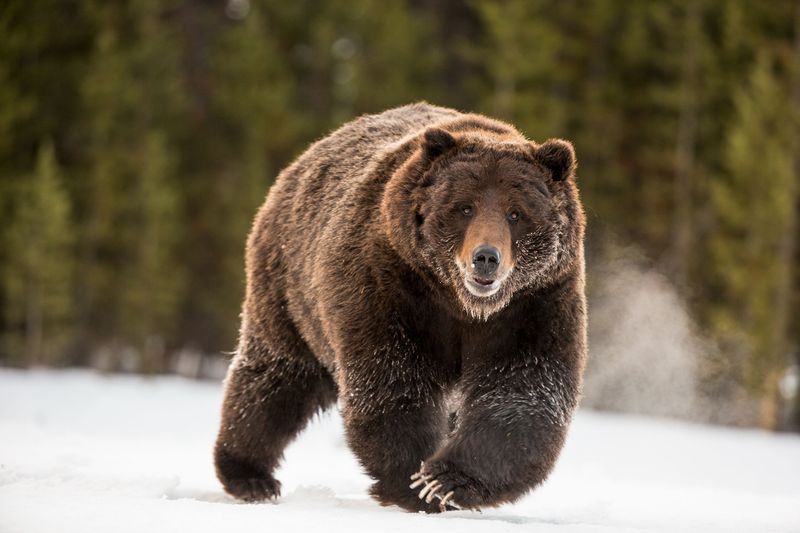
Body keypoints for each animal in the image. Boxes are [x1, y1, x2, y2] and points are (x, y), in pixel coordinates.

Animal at [212, 101, 588, 512]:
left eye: (516, 213)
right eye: (465, 207)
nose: (486, 258)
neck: (463, 305)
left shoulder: (534, 303)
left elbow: (521, 391)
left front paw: (445, 481)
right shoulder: (390, 284)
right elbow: (393, 378)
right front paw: (413, 480)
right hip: (289, 288)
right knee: (276, 377)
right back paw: (250, 475)